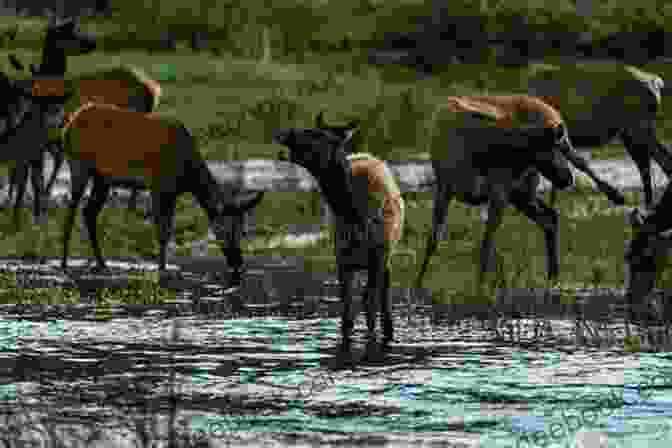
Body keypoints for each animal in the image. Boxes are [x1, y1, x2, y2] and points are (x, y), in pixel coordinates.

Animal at [414, 94, 576, 290]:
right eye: (555, 148)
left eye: (562, 147)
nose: (568, 178)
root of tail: (556, 114)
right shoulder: (444, 187)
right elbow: (433, 239)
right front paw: (417, 283)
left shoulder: (499, 192)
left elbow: (486, 243)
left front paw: (480, 285)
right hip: (520, 195)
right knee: (550, 217)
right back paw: (552, 276)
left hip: (520, 192)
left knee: (549, 217)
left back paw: (553, 276)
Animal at [528, 62, 668, 209]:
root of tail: (657, 82)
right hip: (635, 130)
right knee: (661, 160)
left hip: (636, 127)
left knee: (647, 165)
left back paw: (647, 205)